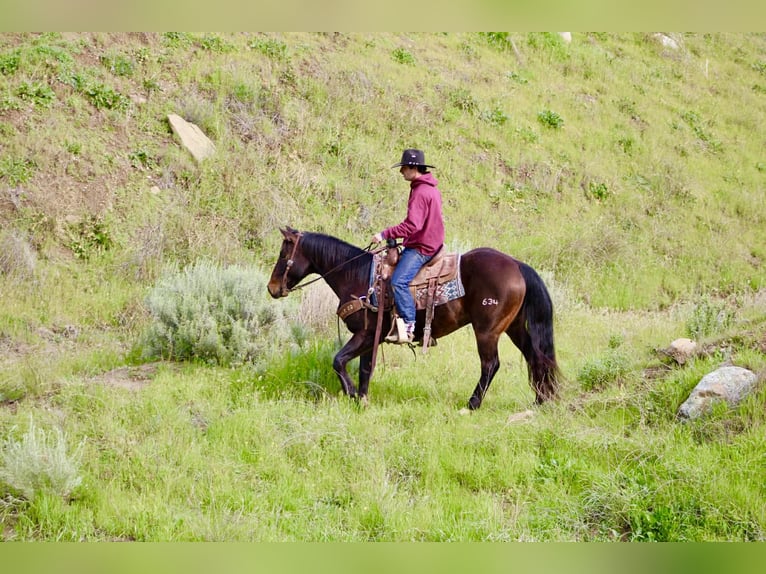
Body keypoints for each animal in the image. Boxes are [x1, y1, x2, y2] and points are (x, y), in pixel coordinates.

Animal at [267, 227, 561, 410]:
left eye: (283, 254)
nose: (272, 288)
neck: (359, 275)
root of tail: (517, 265)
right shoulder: (370, 337)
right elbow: (364, 368)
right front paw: (362, 399)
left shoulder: (364, 334)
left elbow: (338, 360)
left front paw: (351, 394)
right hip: (514, 327)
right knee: (535, 356)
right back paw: (540, 400)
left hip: (487, 331)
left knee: (491, 365)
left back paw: (472, 405)